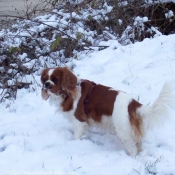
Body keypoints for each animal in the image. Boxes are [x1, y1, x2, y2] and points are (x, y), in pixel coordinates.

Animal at [41, 66, 175, 157]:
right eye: (44, 79)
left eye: (55, 79)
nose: (46, 84)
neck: (67, 92)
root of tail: (133, 103)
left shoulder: (79, 122)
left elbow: (77, 136)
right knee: (139, 145)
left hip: (122, 131)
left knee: (133, 149)